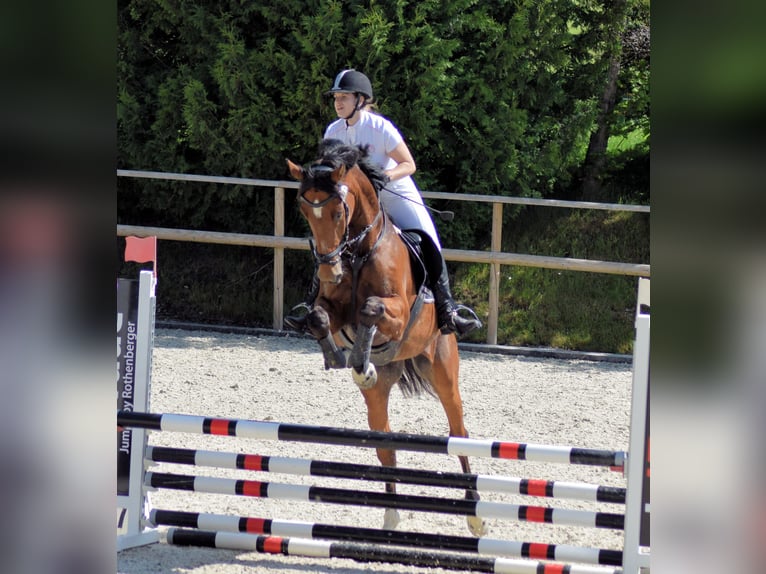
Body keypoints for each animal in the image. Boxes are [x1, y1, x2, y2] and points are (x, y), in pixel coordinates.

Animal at [286, 142, 486, 537]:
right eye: (304, 210)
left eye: (337, 211)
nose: (328, 271)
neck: (358, 252)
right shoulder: (332, 309)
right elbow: (319, 317)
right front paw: (342, 358)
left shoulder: (397, 310)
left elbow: (371, 309)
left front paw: (359, 358)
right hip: (379, 397)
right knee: (386, 445)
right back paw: (391, 515)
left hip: (443, 371)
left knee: (459, 435)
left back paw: (475, 517)